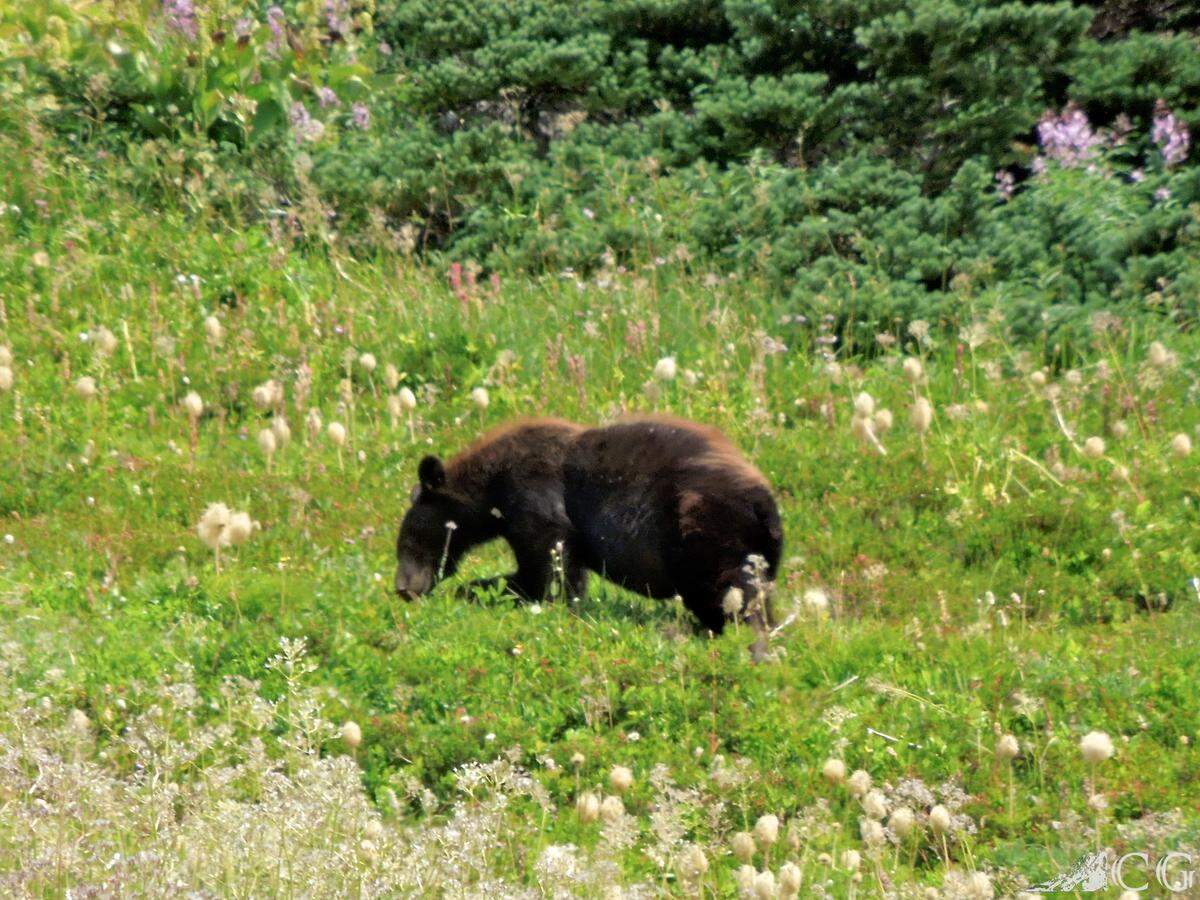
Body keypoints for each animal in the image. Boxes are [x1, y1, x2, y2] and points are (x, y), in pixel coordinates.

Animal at [393, 415, 783, 633]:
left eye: (409, 541)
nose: (403, 588)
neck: (491, 487)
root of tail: (765, 502)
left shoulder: (532, 492)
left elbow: (549, 564)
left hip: (707, 534)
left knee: (728, 593)